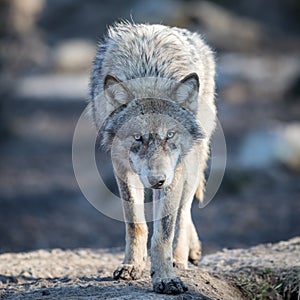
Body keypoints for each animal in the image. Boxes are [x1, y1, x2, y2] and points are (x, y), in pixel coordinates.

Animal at [89, 21, 216, 296]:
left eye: (170, 135)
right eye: (138, 138)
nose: (157, 181)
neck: (147, 68)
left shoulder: (174, 172)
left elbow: (164, 231)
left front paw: (166, 277)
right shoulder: (121, 166)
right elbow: (135, 223)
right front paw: (132, 266)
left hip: (191, 163)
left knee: (184, 213)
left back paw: (180, 258)